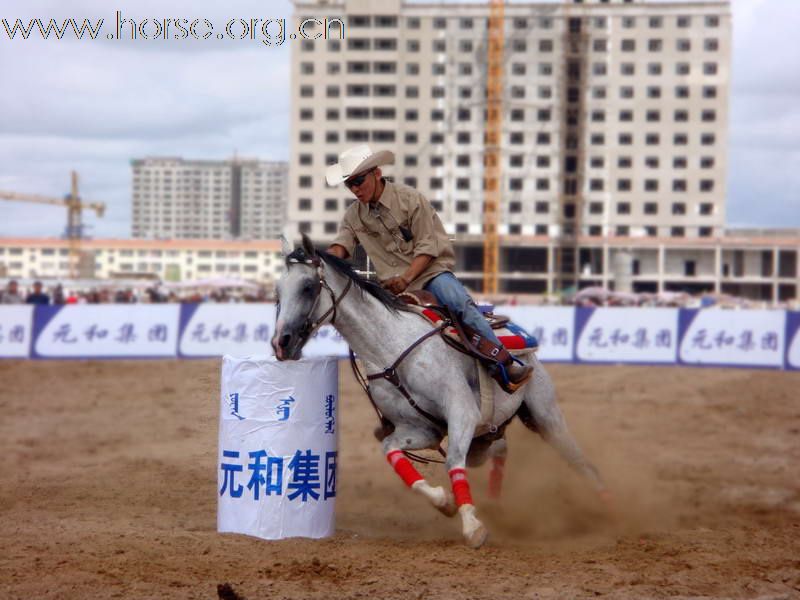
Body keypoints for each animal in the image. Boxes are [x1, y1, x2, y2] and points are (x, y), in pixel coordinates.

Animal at [272, 238, 604, 548]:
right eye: (277, 291)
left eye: (308, 287)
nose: (281, 342)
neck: (390, 350)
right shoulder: (421, 429)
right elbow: (392, 451)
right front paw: (444, 502)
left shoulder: (462, 412)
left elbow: (452, 461)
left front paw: (471, 525)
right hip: (488, 435)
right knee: (499, 450)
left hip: (544, 414)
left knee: (576, 458)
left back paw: (600, 500)